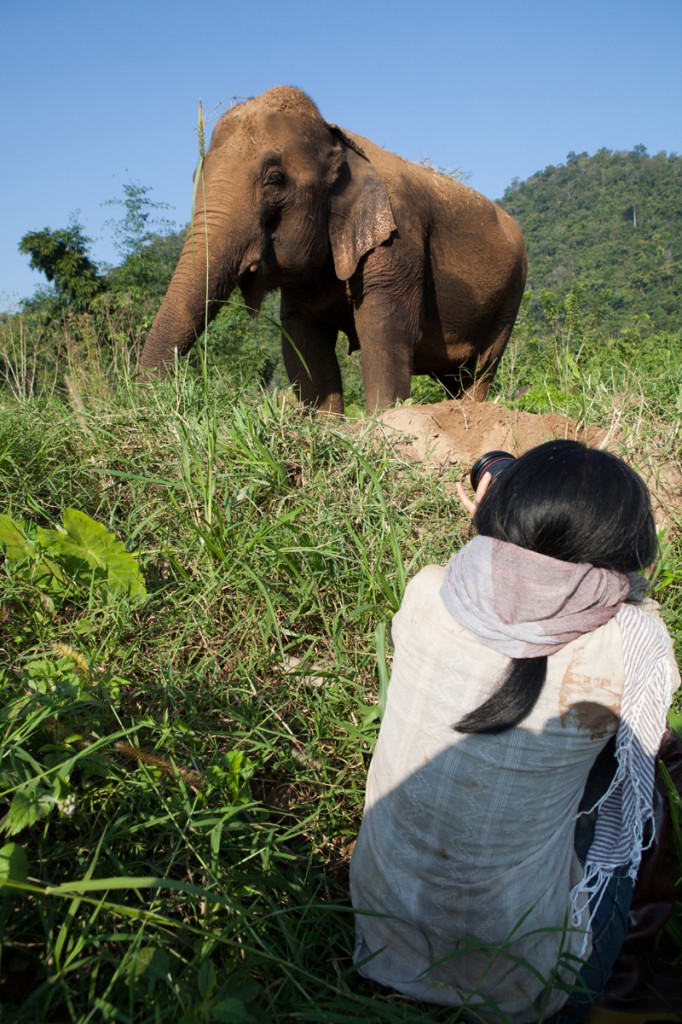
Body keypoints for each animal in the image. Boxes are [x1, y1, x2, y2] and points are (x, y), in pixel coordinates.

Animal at [139, 83, 524, 411]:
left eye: (275, 179)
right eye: (194, 179)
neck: (337, 138)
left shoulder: (399, 240)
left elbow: (384, 331)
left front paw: (383, 421)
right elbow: (303, 341)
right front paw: (325, 422)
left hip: (510, 297)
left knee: (481, 368)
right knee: (454, 376)